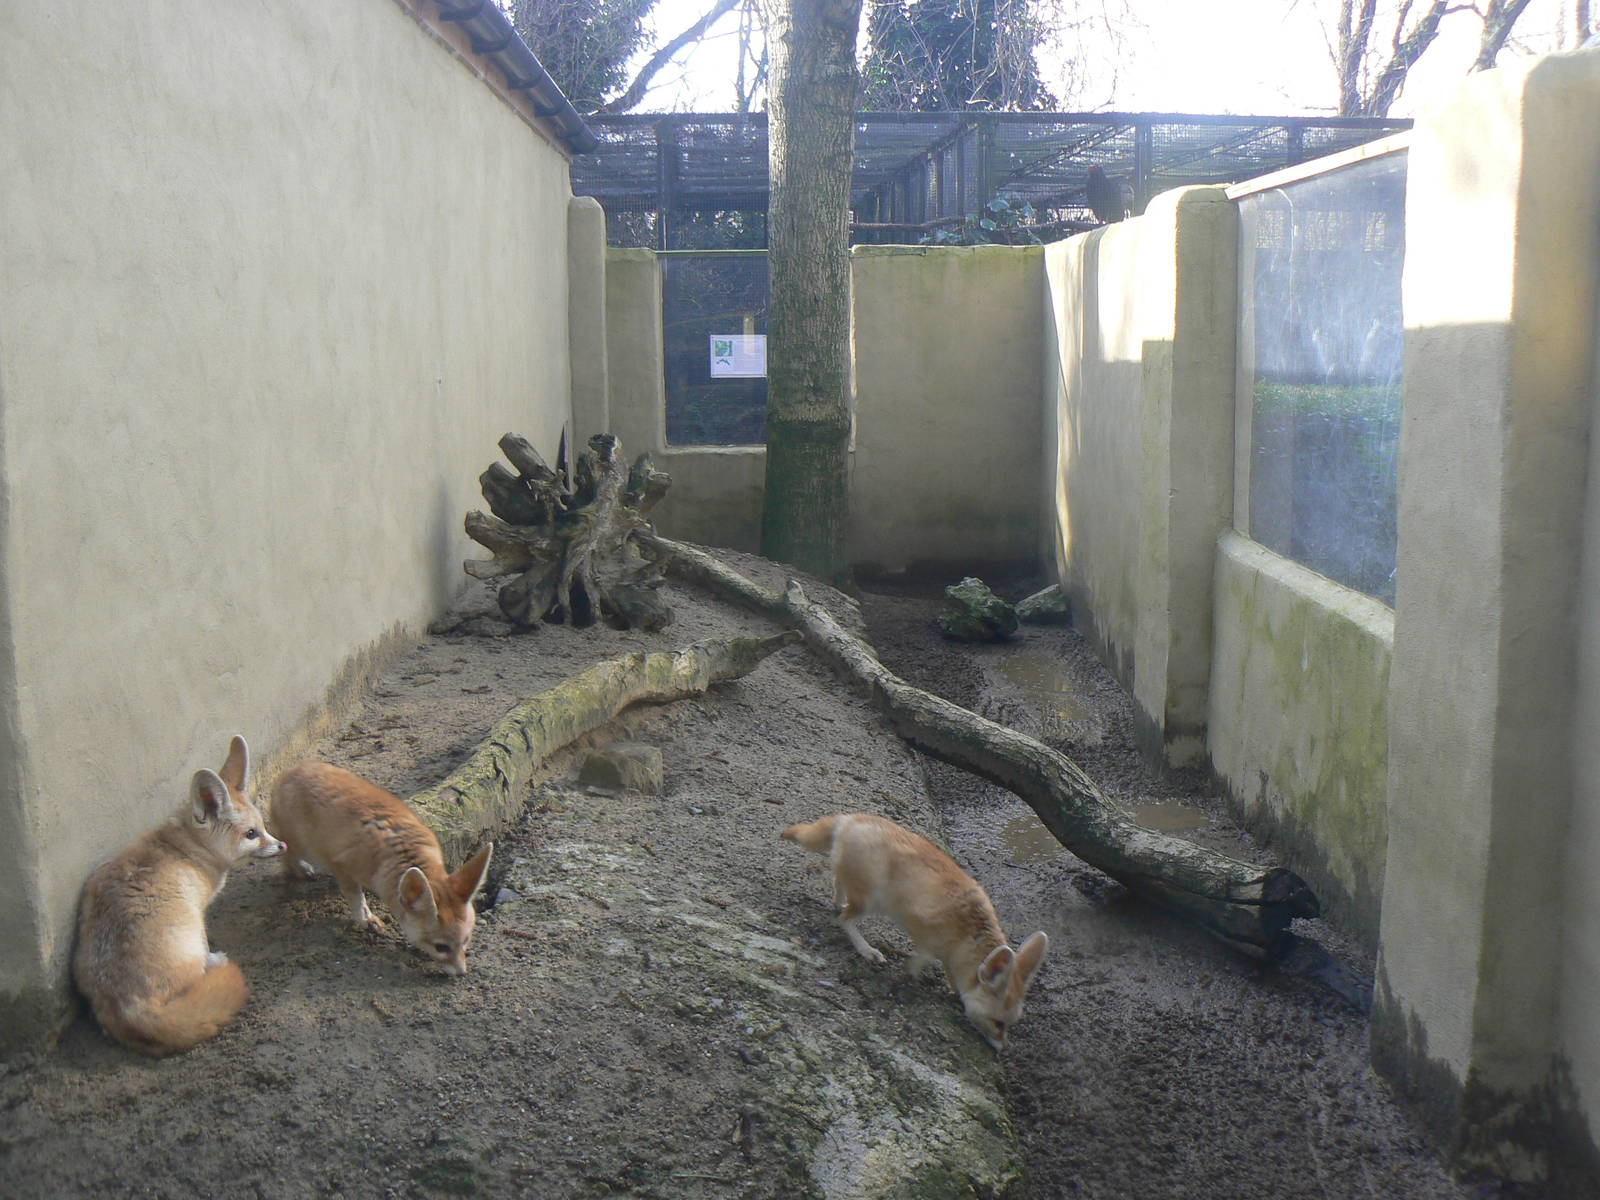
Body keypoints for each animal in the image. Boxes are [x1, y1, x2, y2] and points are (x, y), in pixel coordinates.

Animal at [73, 735, 285, 1055]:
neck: (185, 847)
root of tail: (131, 1006)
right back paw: (214, 963)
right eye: (251, 834)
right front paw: (214, 956)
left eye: (262, 826)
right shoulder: (199, 912)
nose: (282, 845)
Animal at [270, 761, 491, 976]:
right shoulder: (343, 867)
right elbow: (356, 899)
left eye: (466, 940)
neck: (403, 852)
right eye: (441, 947)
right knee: (284, 850)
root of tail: (290, 771)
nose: (462, 973)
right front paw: (366, 919)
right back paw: (299, 869)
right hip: (302, 845)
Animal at [782, 812, 1048, 1050]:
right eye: (998, 1024)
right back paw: (867, 949)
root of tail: (851, 818)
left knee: (838, 883)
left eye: (1009, 1025)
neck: (969, 936)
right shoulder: (925, 935)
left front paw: (953, 989)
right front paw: (913, 976)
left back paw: (837, 902)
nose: (1003, 1049)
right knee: (845, 919)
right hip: (871, 900)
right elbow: (921, 959)